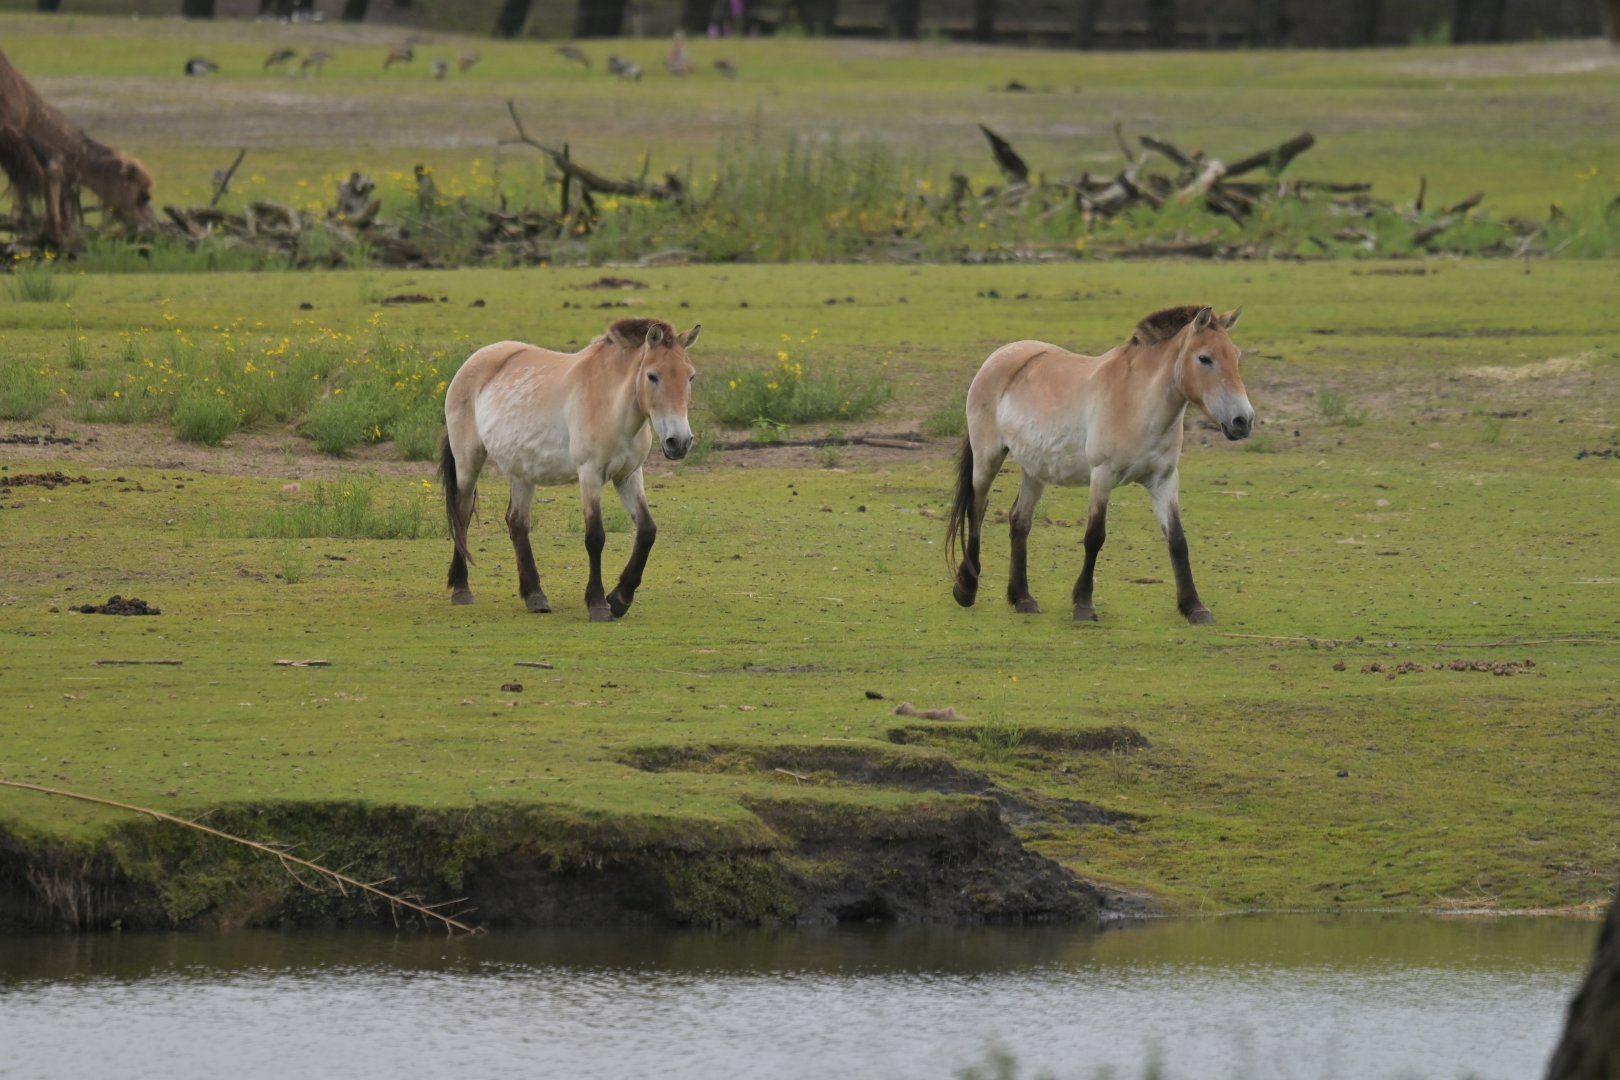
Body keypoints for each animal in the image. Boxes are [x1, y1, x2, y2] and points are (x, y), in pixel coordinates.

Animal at [439, 317, 699, 622]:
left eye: (690, 376)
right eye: (652, 376)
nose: (679, 442)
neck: (611, 403)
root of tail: (472, 362)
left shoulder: (629, 475)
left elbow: (647, 531)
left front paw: (620, 598)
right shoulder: (590, 474)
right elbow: (595, 537)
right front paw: (598, 604)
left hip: (522, 470)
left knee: (517, 522)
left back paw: (535, 595)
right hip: (468, 461)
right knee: (462, 514)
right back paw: (461, 589)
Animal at [946, 304, 1253, 624]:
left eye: (1235, 355)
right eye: (1205, 358)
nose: (1243, 421)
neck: (1138, 403)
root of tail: (1000, 355)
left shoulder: (1164, 480)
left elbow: (1178, 540)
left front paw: (1194, 607)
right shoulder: (1102, 475)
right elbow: (1094, 536)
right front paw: (1083, 604)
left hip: (1035, 470)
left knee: (1020, 520)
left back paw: (1022, 598)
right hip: (988, 458)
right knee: (976, 509)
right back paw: (966, 588)